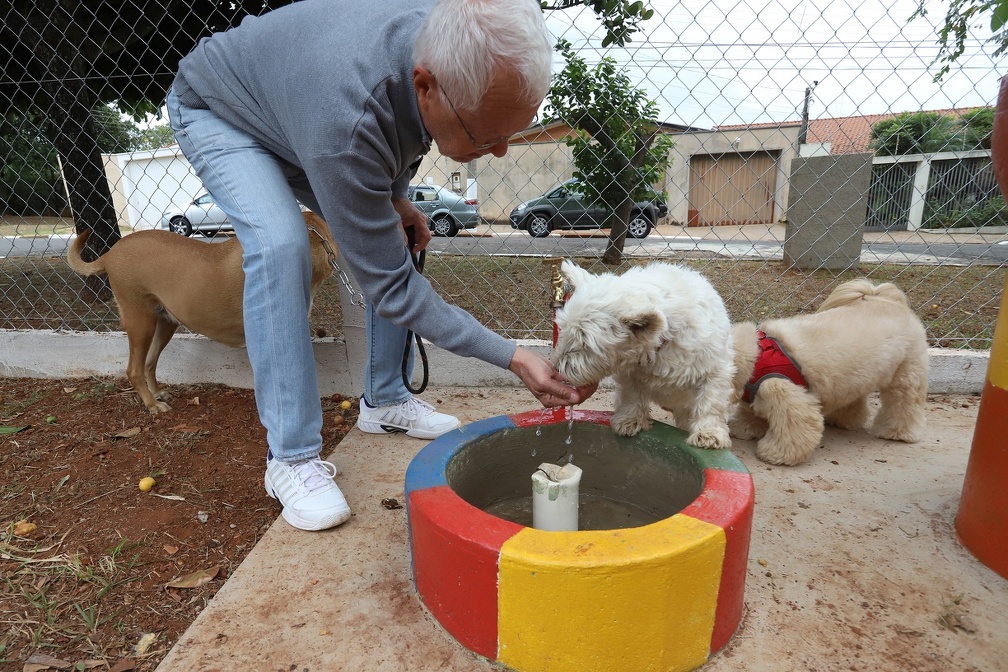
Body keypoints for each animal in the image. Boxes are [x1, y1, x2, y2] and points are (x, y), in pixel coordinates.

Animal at [67, 210, 336, 413]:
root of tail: (110, 253)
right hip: (140, 322)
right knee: (134, 369)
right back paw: (152, 404)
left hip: (165, 323)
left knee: (149, 363)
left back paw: (157, 393)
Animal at [552, 259, 733, 449]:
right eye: (564, 329)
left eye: (585, 343)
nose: (556, 368)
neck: (663, 340)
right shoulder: (630, 374)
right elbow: (632, 395)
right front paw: (630, 420)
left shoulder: (714, 370)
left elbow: (710, 402)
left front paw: (709, 433)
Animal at [725, 278, 927, 463]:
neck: (757, 357)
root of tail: (889, 300)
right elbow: (749, 413)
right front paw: (742, 428)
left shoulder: (787, 397)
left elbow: (794, 431)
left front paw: (776, 453)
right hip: (853, 379)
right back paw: (842, 420)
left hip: (905, 377)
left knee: (903, 405)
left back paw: (896, 432)